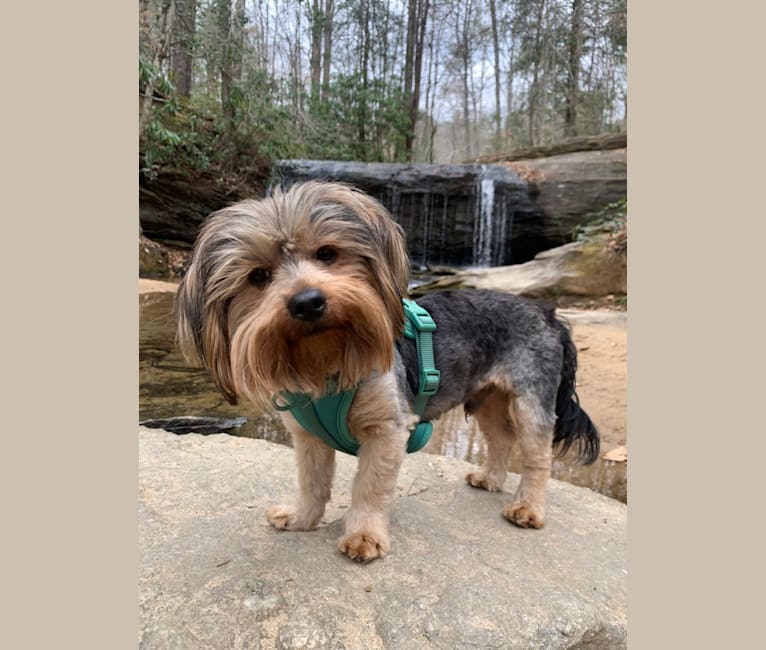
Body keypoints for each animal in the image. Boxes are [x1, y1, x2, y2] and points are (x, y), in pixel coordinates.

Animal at [177, 180, 604, 560]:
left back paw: (527, 509)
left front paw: (364, 537)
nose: (308, 302)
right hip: (488, 397)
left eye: (327, 253)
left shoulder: (386, 429)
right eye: (258, 276)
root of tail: (547, 313)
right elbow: (312, 481)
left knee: (536, 455)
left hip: (532, 394)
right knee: (500, 437)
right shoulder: (308, 436)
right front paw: (300, 519)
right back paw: (489, 480)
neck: (327, 363)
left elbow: (369, 485)